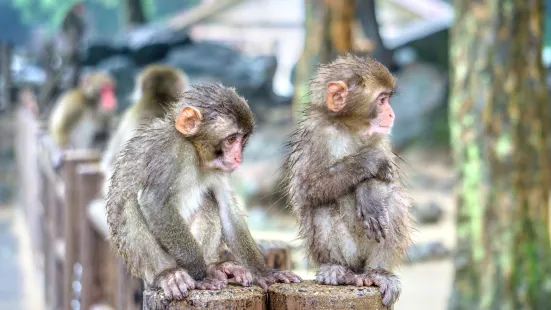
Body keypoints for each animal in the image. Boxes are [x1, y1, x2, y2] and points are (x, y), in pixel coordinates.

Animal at [105, 83, 300, 302]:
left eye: (242, 140)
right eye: (231, 140)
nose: (238, 157)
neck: (195, 152)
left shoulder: (219, 169)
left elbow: (228, 210)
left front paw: (264, 273)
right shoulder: (170, 151)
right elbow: (154, 203)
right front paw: (201, 277)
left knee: (209, 200)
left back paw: (214, 266)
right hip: (146, 266)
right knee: (130, 205)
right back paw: (168, 274)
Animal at [286, 54, 412, 306]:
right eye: (382, 100)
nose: (391, 114)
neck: (348, 128)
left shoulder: (382, 139)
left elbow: (387, 182)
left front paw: (369, 195)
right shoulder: (317, 135)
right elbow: (306, 187)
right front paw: (368, 160)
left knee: (393, 201)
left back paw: (378, 272)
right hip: (348, 253)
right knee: (322, 206)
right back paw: (337, 269)